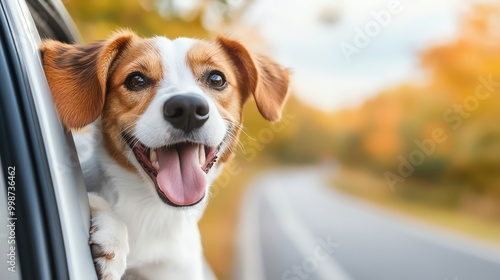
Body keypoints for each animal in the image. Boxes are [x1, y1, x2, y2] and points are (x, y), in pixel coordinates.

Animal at [41, 29, 292, 278]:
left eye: (216, 79)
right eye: (136, 80)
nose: (188, 108)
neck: (151, 211)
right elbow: (92, 195)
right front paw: (113, 235)